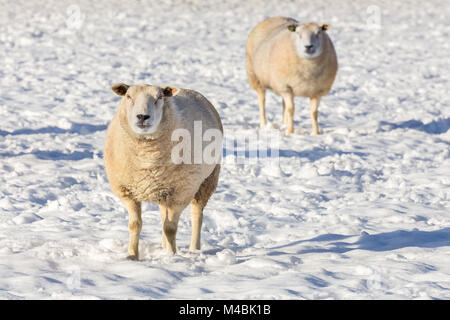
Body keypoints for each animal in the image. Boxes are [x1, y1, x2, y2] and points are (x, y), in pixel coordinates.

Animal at [102, 84, 221, 258]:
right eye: (128, 96)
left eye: (159, 98)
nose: (142, 116)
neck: (146, 160)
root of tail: (189, 90)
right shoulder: (128, 192)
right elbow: (135, 225)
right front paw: (132, 255)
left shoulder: (181, 193)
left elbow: (170, 228)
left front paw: (171, 256)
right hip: (163, 191)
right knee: (163, 214)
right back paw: (164, 246)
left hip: (207, 180)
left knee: (196, 216)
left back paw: (194, 249)